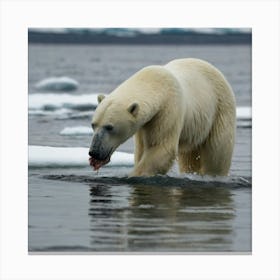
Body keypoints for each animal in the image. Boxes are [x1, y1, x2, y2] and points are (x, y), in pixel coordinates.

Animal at [88, 58, 235, 176]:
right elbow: (142, 150)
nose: (94, 152)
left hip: (220, 109)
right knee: (188, 157)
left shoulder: (168, 110)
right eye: (93, 125)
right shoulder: (145, 124)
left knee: (217, 152)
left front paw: (133, 175)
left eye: (109, 127)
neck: (154, 82)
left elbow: (162, 147)